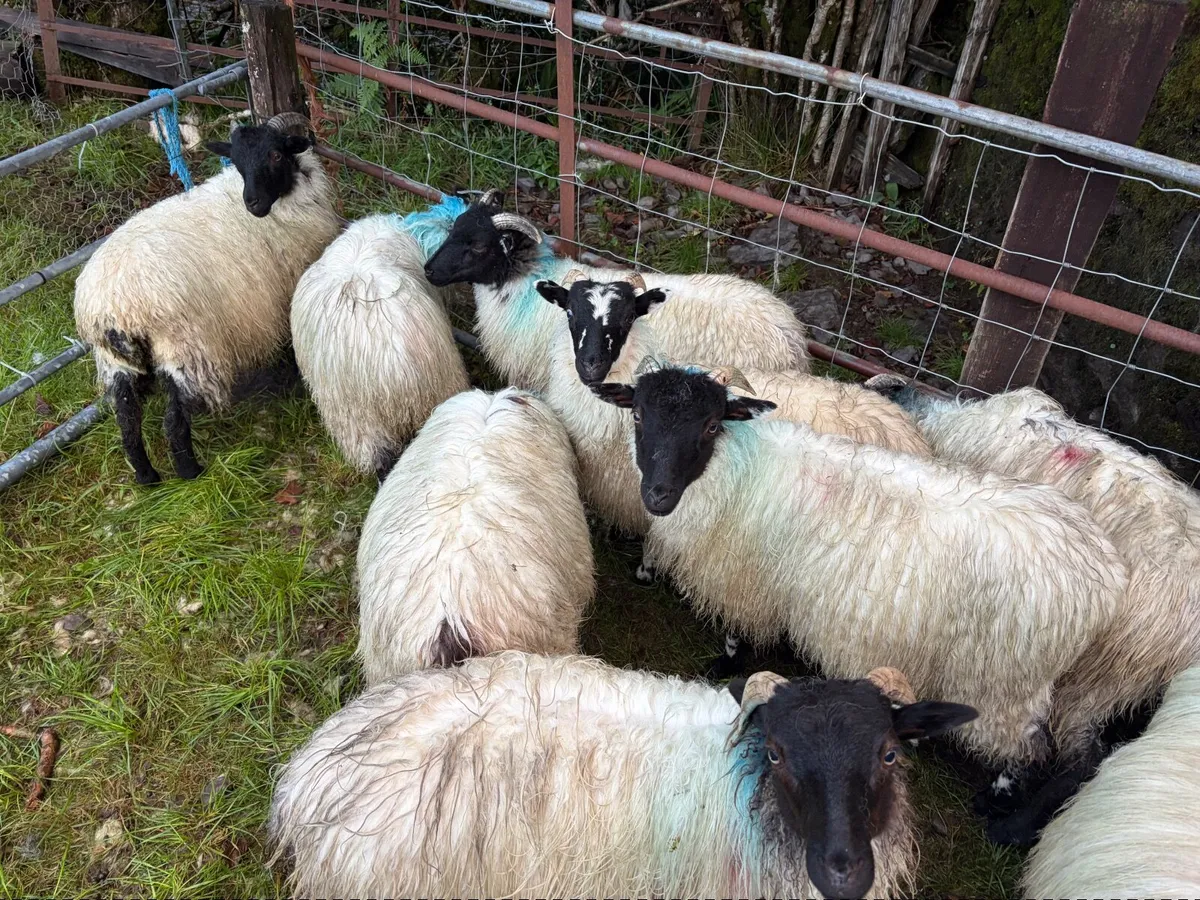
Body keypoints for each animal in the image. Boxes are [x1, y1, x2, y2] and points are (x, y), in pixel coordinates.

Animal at [74, 113, 340, 484]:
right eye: (238, 163)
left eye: (275, 155)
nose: (253, 204)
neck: (287, 196)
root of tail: (113, 307)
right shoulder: (286, 286)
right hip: (187, 347)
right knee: (173, 419)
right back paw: (190, 471)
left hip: (116, 362)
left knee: (127, 418)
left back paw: (146, 476)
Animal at [591, 363, 1128, 768]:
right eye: (637, 415)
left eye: (710, 425)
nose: (657, 496)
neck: (735, 465)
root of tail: (1105, 578)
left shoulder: (741, 581)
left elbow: (735, 633)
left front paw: (722, 666)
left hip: (1005, 686)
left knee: (1028, 753)